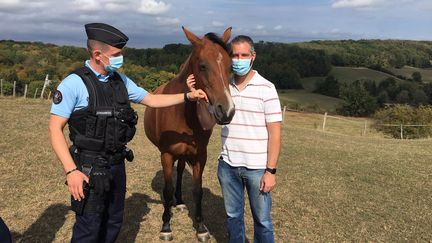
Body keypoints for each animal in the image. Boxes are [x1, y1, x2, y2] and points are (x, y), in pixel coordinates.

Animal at [143, 27, 235, 241]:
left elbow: (197, 190)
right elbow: (167, 190)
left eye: (230, 65)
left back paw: (180, 202)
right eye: (202, 66)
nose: (227, 111)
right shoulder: (167, 154)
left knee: (180, 171)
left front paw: (201, 227)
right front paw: (166, 226)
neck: (182, 113)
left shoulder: (200, 155)